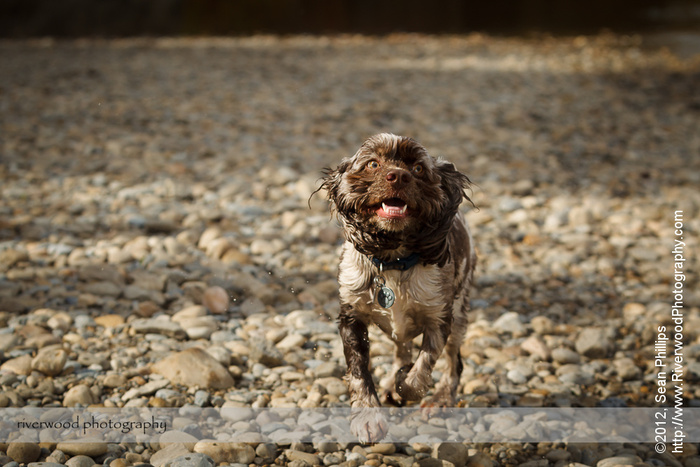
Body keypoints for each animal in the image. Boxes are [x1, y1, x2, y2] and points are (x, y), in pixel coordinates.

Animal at [318, 133, 476, 442]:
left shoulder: (440, 318)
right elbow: (359, 370)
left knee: (454, 363)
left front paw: (406, 382)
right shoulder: (351, 316)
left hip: (461, 315)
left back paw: (439, 399)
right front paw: (368, 416)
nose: (398, 176)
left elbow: (421, 371)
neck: (393, 260)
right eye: (372, 164)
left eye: (418, 168)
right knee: (402, 347)